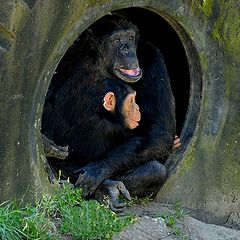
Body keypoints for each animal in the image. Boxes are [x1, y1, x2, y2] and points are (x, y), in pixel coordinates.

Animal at [42, 14, 175, 206]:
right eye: (116, 40)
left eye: (130, 38)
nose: (126, 50)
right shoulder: (71, 55)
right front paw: (46, 143)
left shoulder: (153, 59)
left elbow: (160, 131)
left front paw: (98, 170)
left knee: (155, 170)